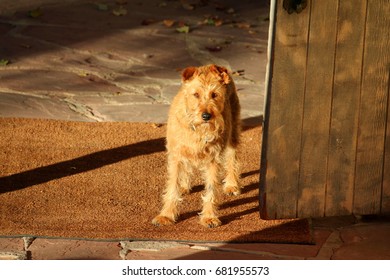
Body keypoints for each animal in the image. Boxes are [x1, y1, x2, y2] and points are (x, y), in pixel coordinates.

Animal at [152, 63, 241, 228]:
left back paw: (232, 184)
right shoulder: (176, 157)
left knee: (232, 158)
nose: (206, 116)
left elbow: (211, 190)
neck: (198, 130)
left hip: (233, 133)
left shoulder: (213, 160)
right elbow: (172, 188)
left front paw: (209, 217)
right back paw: (184, 185)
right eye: (196, 94)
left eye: (214, 94)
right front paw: (166, 215)